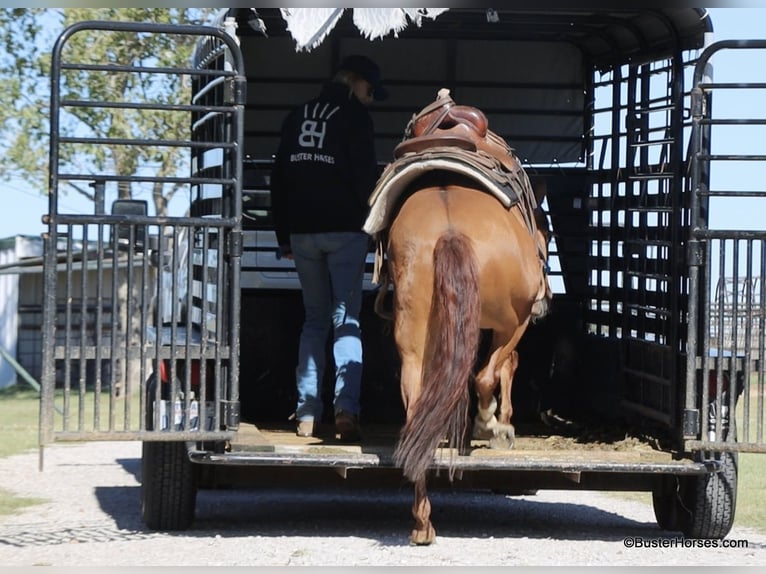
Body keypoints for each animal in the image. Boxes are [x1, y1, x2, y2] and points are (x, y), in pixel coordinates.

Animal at [364, 89, 551, 545]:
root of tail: (450, 229)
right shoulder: (511, 326)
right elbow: (501, 368)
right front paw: (498, 425)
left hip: (415, 347)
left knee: (419, 415)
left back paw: (422, 521)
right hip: (510, 319)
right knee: (485, 374)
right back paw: (488, 426)